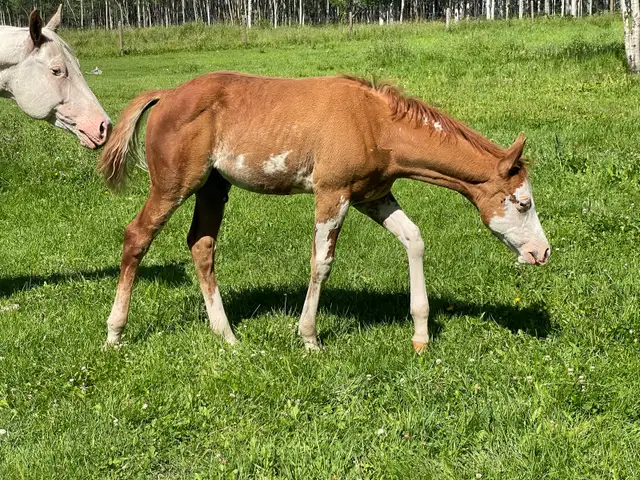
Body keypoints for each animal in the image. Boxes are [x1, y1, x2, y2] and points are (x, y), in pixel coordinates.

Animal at [99, 72, 550, 352]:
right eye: (522, 203)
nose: (542, 253)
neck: (373, 124)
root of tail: (166, 95)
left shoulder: (373, 196)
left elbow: (414, 238)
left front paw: (421, 334)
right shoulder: (332, 195)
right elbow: (322, 263)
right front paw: (309, 338)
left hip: (213, 187)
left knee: (201, 245)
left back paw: (226, 335)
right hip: (174, 187)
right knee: (137, 236)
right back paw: (115, 333)